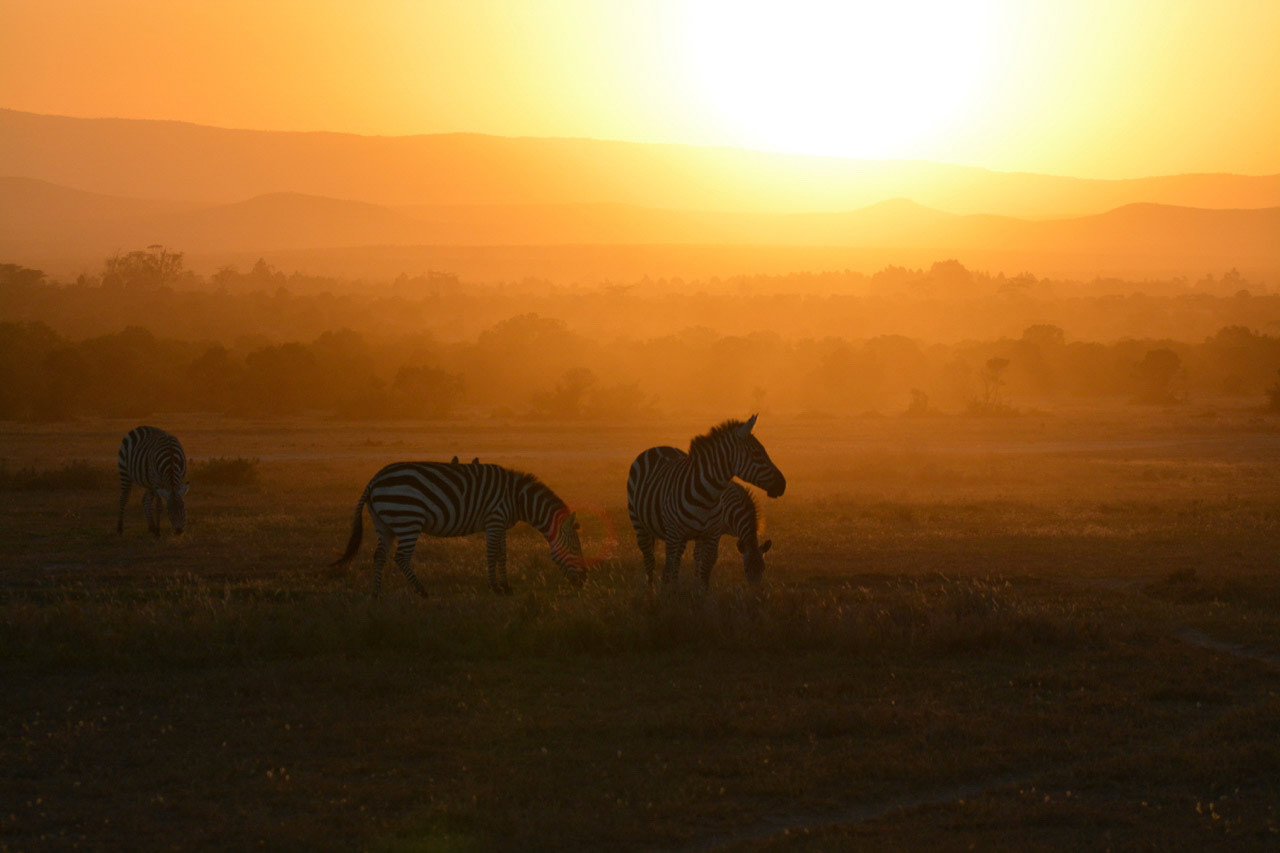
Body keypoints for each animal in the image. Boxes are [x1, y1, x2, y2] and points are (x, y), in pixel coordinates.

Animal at [332, 461, 584, 596]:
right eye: (575, 548)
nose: (583, 582)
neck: (517, 498)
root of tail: (374, 480)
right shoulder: (494, 519)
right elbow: (492, 554)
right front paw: (495, 587)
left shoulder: (500, 523)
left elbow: (502, 554)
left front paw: (506, 586)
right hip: (408, 519)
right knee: (401, 557)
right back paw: (422, 591)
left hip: (384, 523)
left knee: (379, 556)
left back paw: (376, 593)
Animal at [627, 415, 785, 586]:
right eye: (757, 454)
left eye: (764, 569)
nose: (783, 484)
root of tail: (658, 447)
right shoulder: (698, 533)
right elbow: (693, 560)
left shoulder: (709, 534)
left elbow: (704, 562)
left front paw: (697, 586)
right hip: (640, 524)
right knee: (650, 558)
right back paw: (651, 588)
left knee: (675, 559)